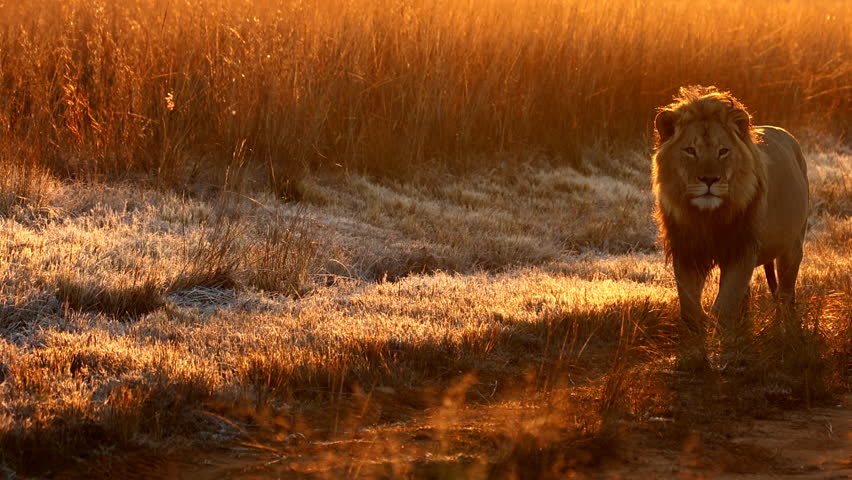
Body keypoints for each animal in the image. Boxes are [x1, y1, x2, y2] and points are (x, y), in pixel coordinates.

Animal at [651, 85, 808, 340]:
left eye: (723, 151)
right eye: (690, 150)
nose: (709, 179)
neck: (708, 217)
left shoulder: (742, 250)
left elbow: (724, 305)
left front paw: (722, 337)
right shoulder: (687, 252)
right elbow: (689, 306)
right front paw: (699, 335)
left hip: (792, 248)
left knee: (786, 295)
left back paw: (789, 332)